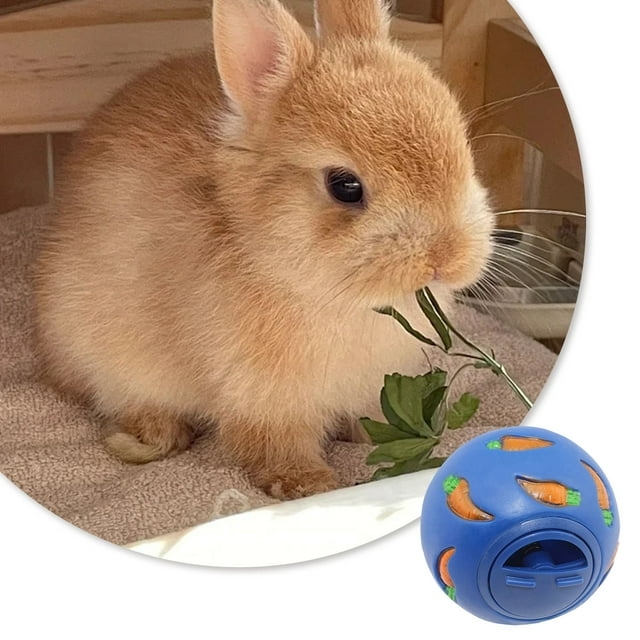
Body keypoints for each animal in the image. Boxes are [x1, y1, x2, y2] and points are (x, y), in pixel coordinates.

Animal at [34, 0, 494, 499]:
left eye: (462, 146)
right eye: (345, 187)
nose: (447, 258)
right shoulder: (263, 399)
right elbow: (273, 444)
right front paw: (308, 486)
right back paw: (143, 440)